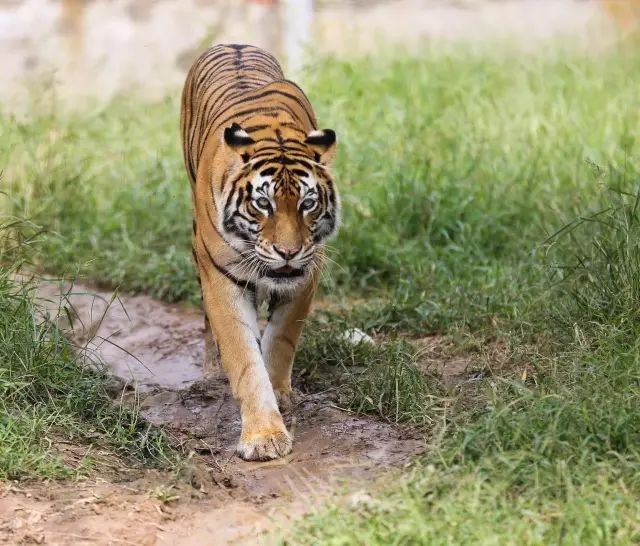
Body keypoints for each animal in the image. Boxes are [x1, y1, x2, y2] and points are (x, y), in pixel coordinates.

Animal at [180, 44, 340, 460]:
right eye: (262, 204)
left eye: (307, 204)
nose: (288, 251)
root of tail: (233, 43)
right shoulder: (223, 279)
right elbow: (244, 359)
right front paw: (264, 436)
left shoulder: (307, 273)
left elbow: (281, 339)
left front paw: (279, 392)